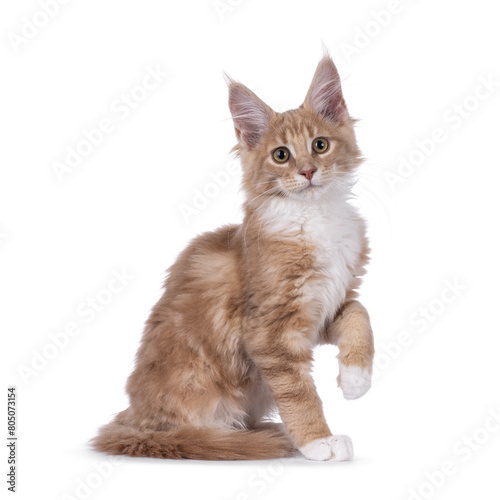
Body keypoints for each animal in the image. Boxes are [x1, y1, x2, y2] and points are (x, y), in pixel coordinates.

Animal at [90, 50, 374, 460]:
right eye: (281, 155)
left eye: (320, 145)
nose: (308, 171)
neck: (316, 216)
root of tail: (135, 420)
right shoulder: (270, 331)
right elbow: (299, 393)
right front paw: (318, 440)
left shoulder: (329, 304)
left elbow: (360, 316)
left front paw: (356, 379)